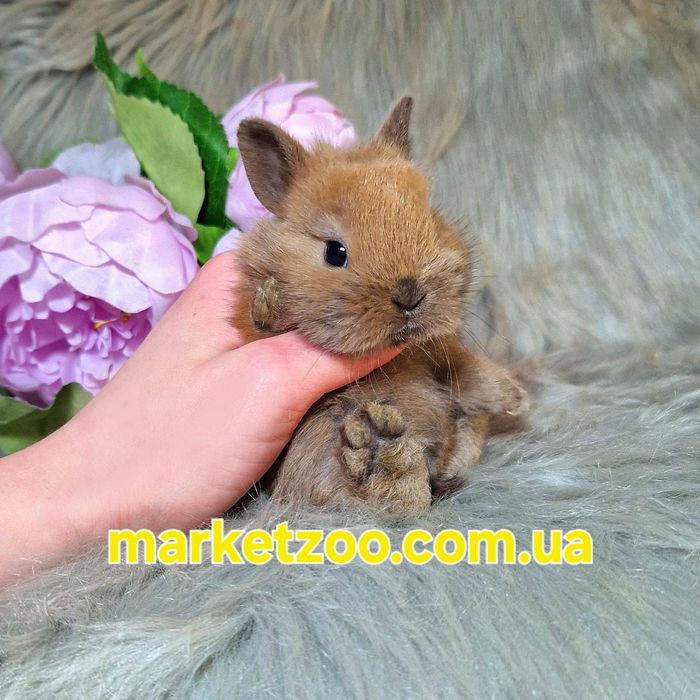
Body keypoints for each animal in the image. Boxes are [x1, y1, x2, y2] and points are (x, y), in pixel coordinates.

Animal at [232, 97, 527, 514]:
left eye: (430, 222)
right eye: (334, 252)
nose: (410, 294)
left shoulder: (438, 350)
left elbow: (461, 364)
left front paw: (513, 398)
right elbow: (258, 322)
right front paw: (270, 300)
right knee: (386, 496)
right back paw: (377, 448)